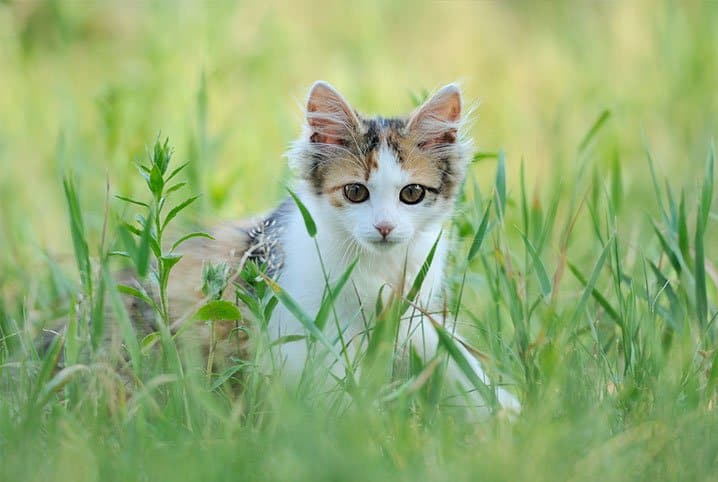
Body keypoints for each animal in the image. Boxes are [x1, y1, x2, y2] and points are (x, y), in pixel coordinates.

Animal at [160, 82, 520, 414]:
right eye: (355, 192)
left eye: (412, 193)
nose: (385, 227)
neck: (377, 265)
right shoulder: (303, 326)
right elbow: (334, 389)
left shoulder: (411, 315)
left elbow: (454, 360)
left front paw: (504, 411)